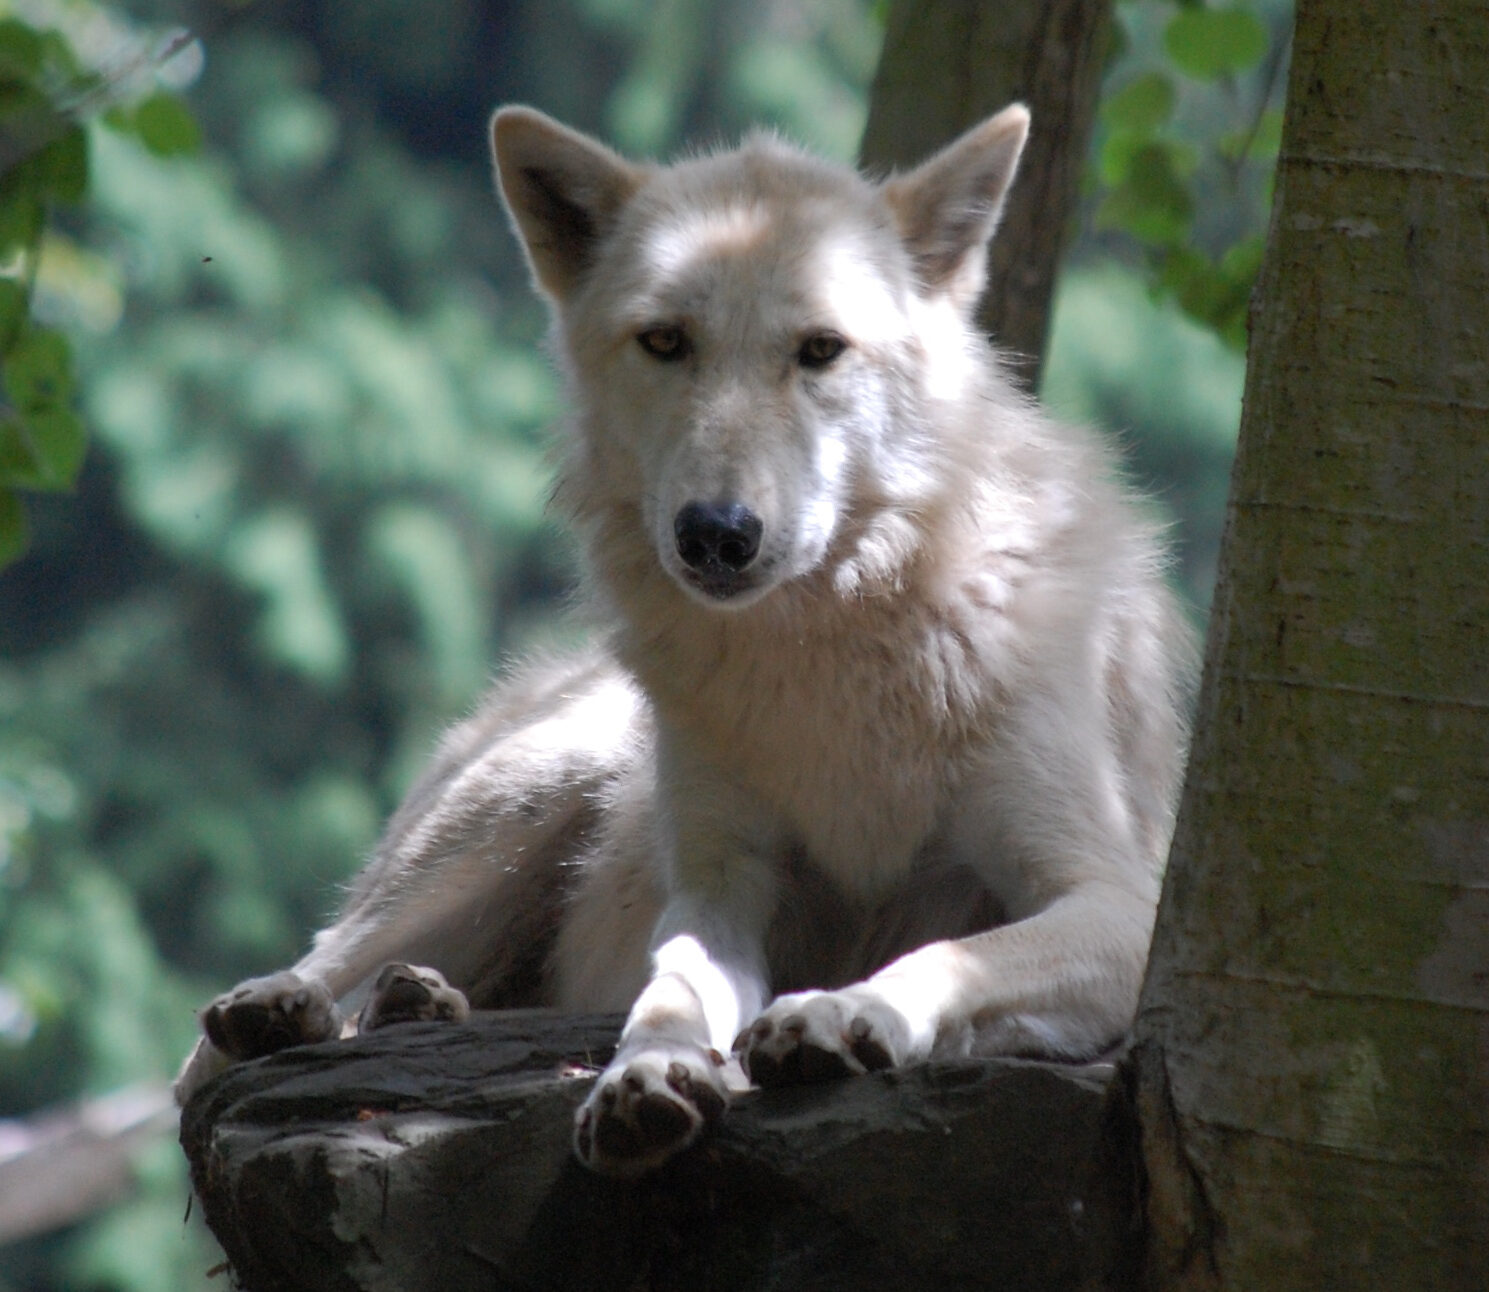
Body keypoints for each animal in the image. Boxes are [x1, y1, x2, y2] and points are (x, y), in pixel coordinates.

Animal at [174, 105, 1197, 1178]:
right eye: (665, 341)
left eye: (820, 350)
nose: (715, 532)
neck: (831, 645)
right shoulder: (720, 893)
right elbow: (669, 989)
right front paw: (648, 1075)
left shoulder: (1116, 904)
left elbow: (950, 957)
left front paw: (839, 1014)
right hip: (529, 801)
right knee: (251, 1021)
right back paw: (294, 1008)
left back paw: (413, 1003)